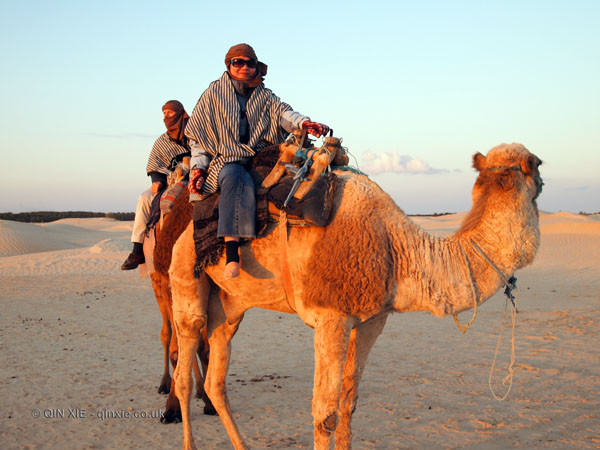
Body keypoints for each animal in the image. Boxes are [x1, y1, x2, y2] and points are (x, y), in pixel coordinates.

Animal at [166, 142, 540, 448]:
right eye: (537, 164)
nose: (540, 177)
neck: (396, 248)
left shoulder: (372, 320)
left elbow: (348, 404)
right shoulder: (330, 318)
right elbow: (324, 414)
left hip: (230, 306)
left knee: (216, 378)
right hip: (185, 277)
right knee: (185, 370)